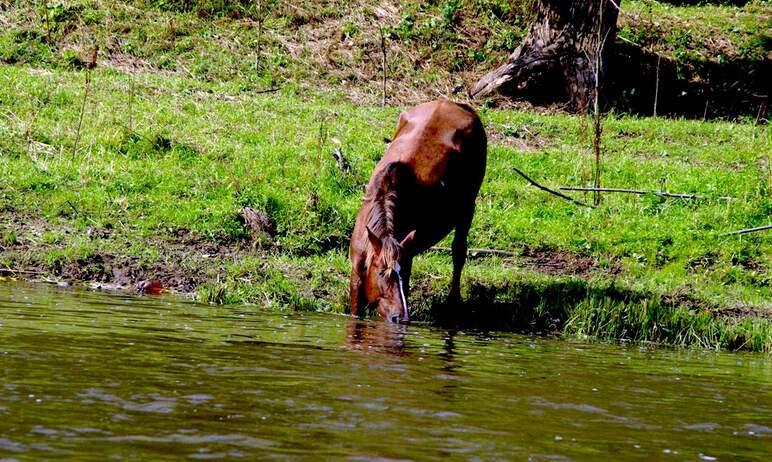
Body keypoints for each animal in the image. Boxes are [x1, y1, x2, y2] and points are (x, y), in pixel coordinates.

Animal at [352, 98, 488, 322]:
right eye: (381, 273)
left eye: (403, 275)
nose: (400, 317)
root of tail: (454, 103)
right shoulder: (356, 277)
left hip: (468, 207)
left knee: (459, 251)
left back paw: (453, 301)